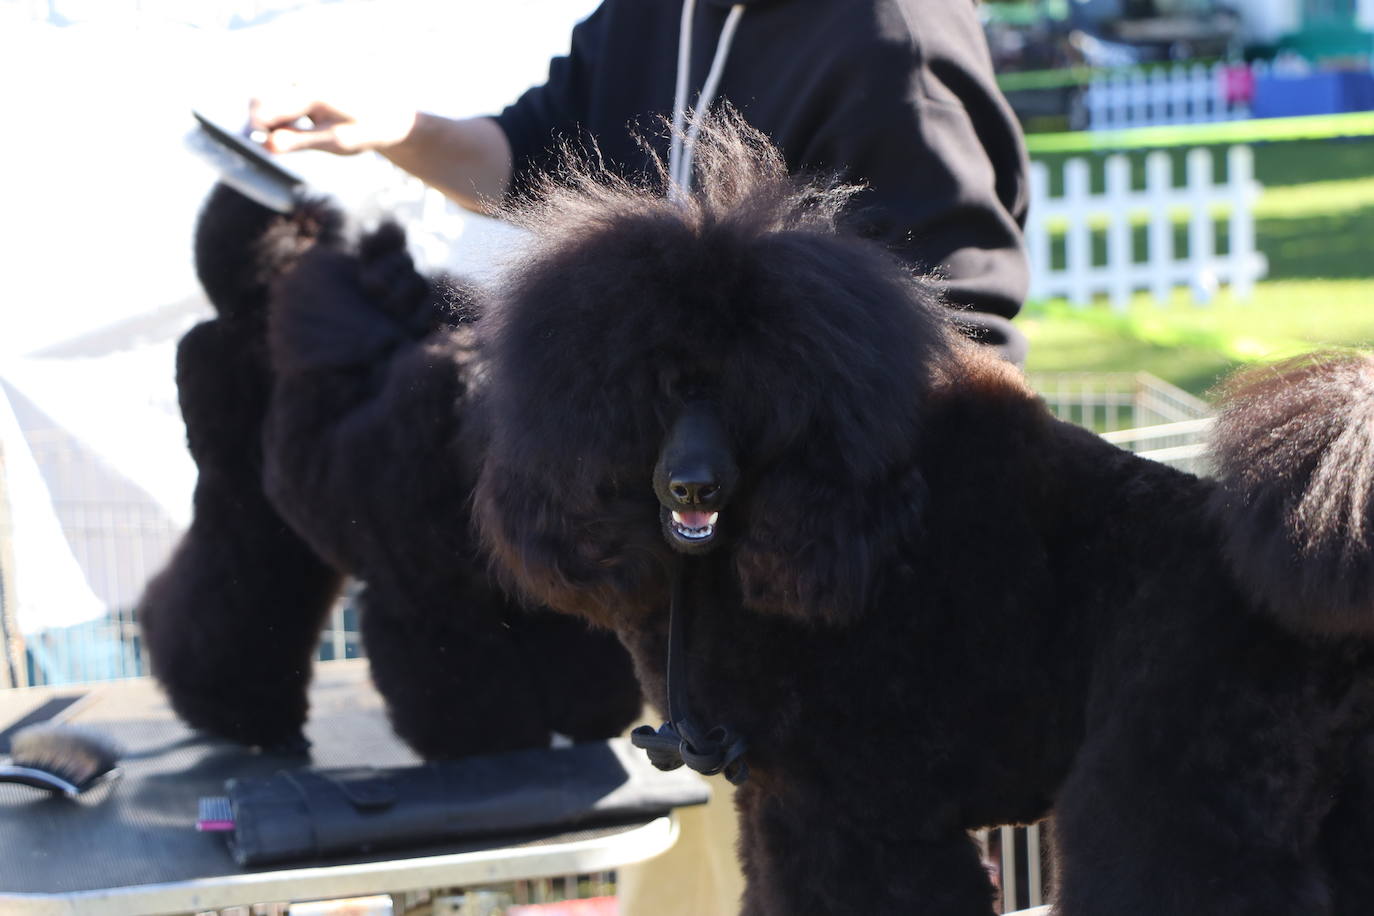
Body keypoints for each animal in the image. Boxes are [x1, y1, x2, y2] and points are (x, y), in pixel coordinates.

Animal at [136, 186, 640, 758]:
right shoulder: (427, 598)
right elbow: (464, 679)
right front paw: (489, 742)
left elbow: (575, 652)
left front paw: (592, 716)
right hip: (236, 482)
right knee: (227, 578)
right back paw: (237, 715)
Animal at [469, 118, 1374, 911]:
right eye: (657, 389)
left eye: (751, 397)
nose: (693, 487)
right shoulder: (779, 802)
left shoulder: (854, 810)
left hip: (1173, 776)